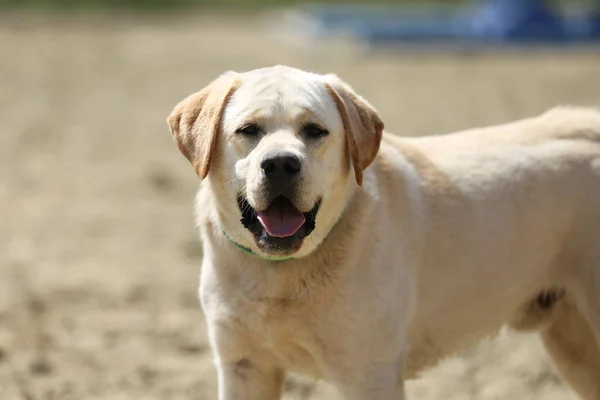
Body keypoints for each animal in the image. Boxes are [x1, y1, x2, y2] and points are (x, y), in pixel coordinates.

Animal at [168, 66, 600, 400]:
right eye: (248, 130)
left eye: (314, 131)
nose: (280, 164)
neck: (281, 276)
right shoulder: (243, 366)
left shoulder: (369, 374)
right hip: (571, 342)